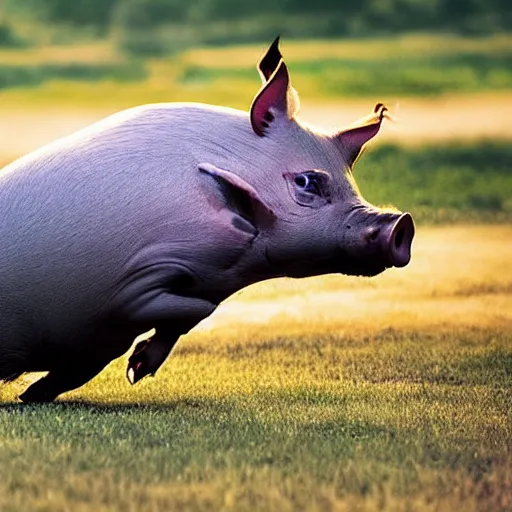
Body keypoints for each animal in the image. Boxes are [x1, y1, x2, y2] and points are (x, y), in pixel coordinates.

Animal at [0, 38, 414, 402]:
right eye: (307, 182)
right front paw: (132, 372)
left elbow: (185, 320)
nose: (401, 222)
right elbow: (196, 310)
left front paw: (133, 371)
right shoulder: (139, 277)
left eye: (352, 185)